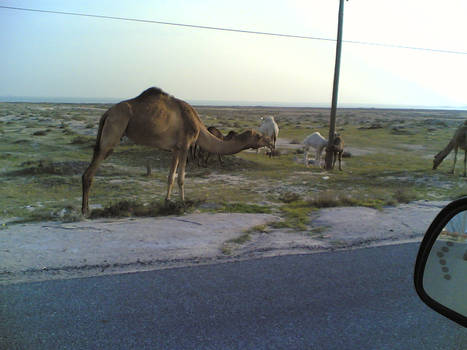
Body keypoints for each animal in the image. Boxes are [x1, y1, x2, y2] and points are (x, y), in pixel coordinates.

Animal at [83, 86, 274, 215]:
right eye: (258, 136)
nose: (270, 142)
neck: (199, 127)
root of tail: (107, 113)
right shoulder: (184, 145)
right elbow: (182, 178)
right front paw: (182, 203)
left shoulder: (174, 149)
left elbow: (170, 177)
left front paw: (167, 201)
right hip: (115, 128)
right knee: (90, 172)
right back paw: (85, 211)